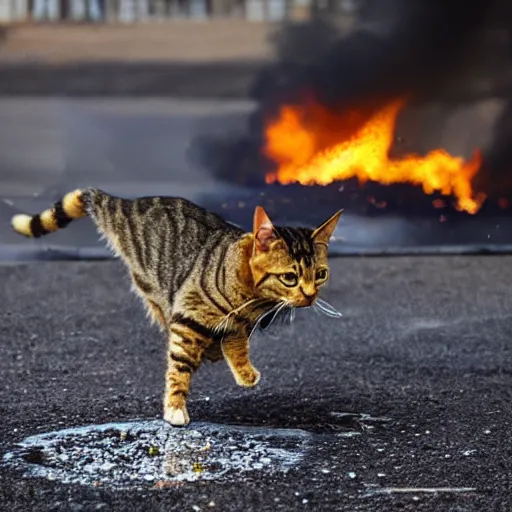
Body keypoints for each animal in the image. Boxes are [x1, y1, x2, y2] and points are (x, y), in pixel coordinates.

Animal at [11, 190, 340, 426]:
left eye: (321, 274)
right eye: (290, 278)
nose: (310, 296)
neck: (252, 296)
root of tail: (125, 203)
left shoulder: (237, 324)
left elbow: (236, 345)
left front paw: (243, 371)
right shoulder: (189, 315)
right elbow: (180, 366)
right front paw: (175, 407)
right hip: (154, 285)